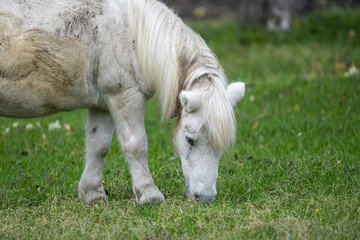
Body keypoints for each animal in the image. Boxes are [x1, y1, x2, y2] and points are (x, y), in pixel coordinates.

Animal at [0, 0, 245, 202]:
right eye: (189, 139)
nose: (204, 197)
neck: (132, 35)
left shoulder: (102, 103)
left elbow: (98, 145)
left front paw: (92, 193)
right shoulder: (125, 96)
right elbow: (136, 145)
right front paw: (149, 194)